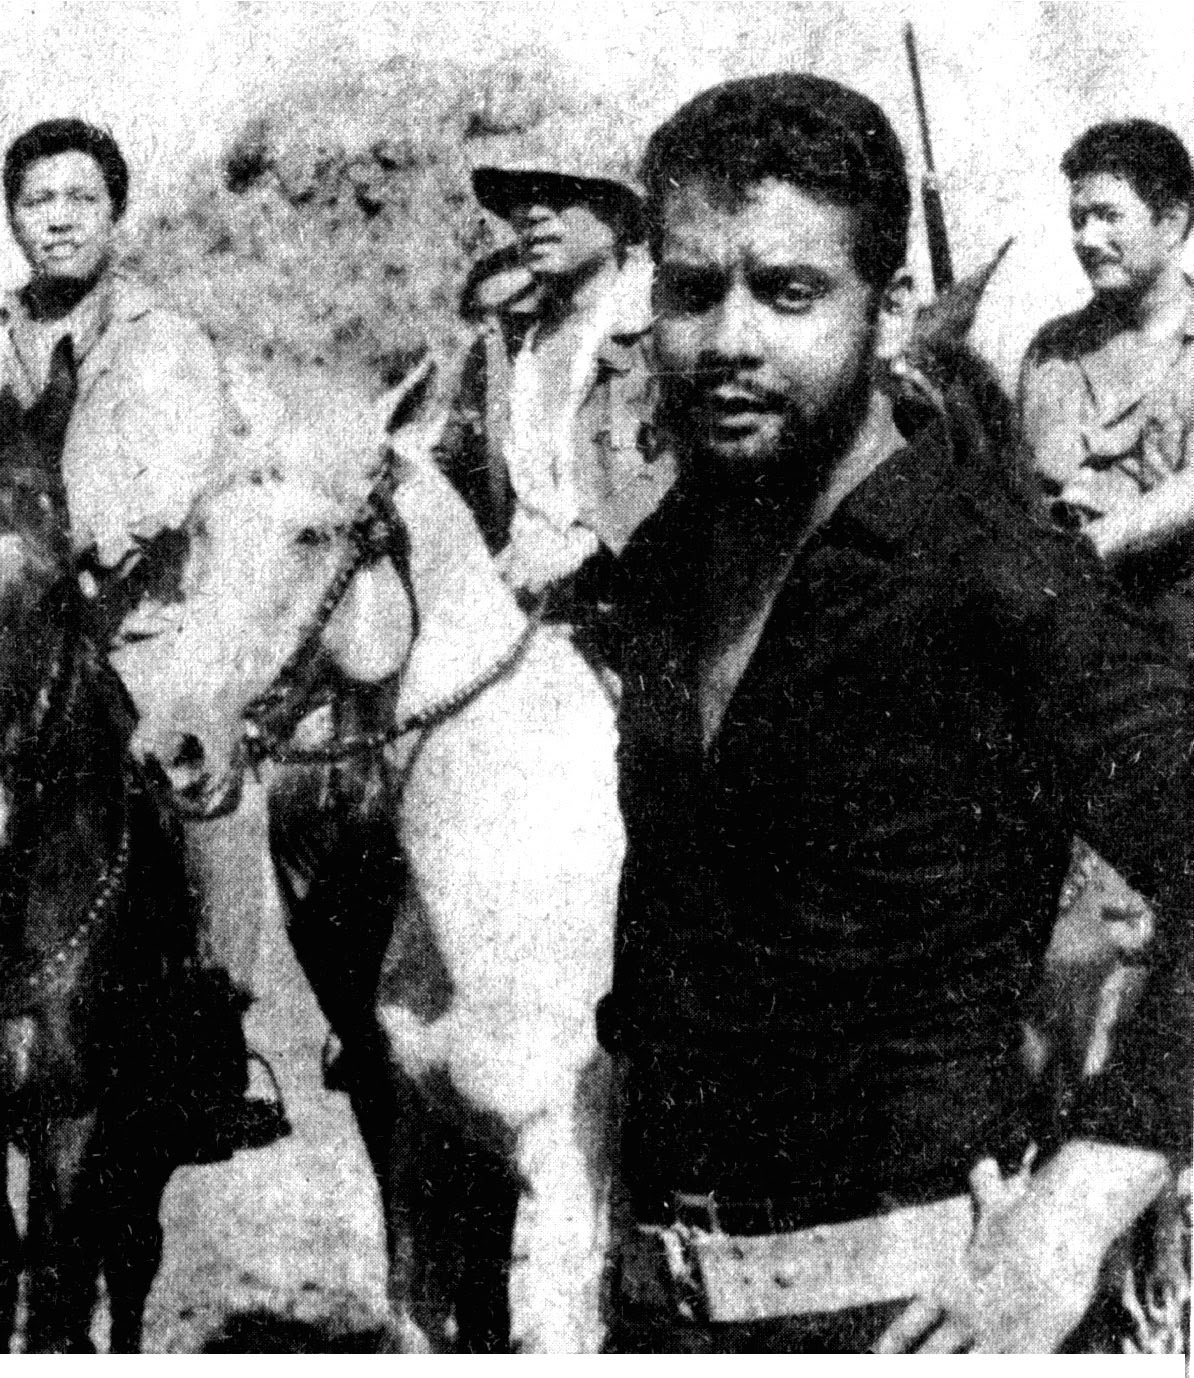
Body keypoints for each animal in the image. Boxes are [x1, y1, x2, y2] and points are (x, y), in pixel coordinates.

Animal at [118, 374, 625, 1352]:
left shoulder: (566, 1181)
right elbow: (418, 1305)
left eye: (313, 535)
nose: (171, 753)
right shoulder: (421, 1143)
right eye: (202, 529)